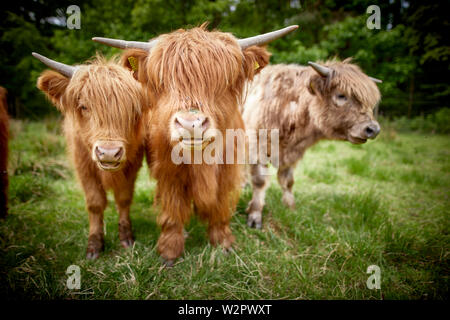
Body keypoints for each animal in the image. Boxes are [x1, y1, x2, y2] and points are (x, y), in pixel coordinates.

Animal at [34, 53, 149, 258]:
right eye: (83, 107)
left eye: (134, 109)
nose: (109, 153)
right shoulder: (83, 167)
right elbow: (95, 203)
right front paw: (94, 245)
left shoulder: (132, 165)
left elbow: (124, 199)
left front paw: (126, 237)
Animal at [93, 23, 298, 264]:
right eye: (163, 82)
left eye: (224, 82)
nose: (191, 124)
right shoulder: (168, 173)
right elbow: (172, 209)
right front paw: (170, 250)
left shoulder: (227, 173)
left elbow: (220, 208)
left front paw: (223, 242)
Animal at [244, 57, 382, 228]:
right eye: (341, 95)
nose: (373, 129)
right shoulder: (257, 147)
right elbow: (260, 181)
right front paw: (255, 215)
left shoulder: (293, 154)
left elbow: (287, 181)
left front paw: (290, 207)